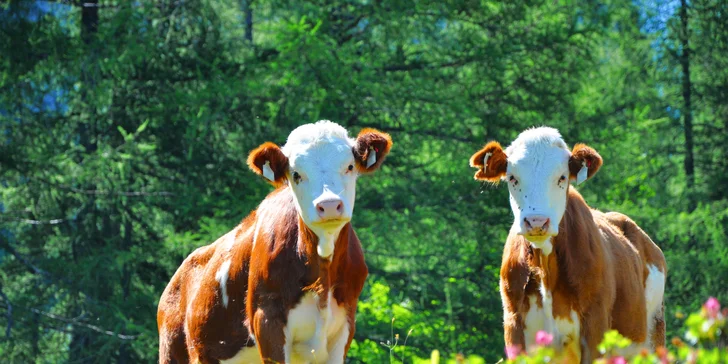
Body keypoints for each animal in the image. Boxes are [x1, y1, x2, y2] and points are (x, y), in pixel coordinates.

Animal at [159, 121, 392, 362]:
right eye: (296, 174)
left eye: (349, 166)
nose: (328, 205)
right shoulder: (266, 319)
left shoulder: (345, 323)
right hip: (173, 351)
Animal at [472, 127, 664, 362]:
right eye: (512, 177)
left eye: (562, 177)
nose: (536, 221)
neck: (545, 270)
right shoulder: (513, 324)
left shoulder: (595, 326)